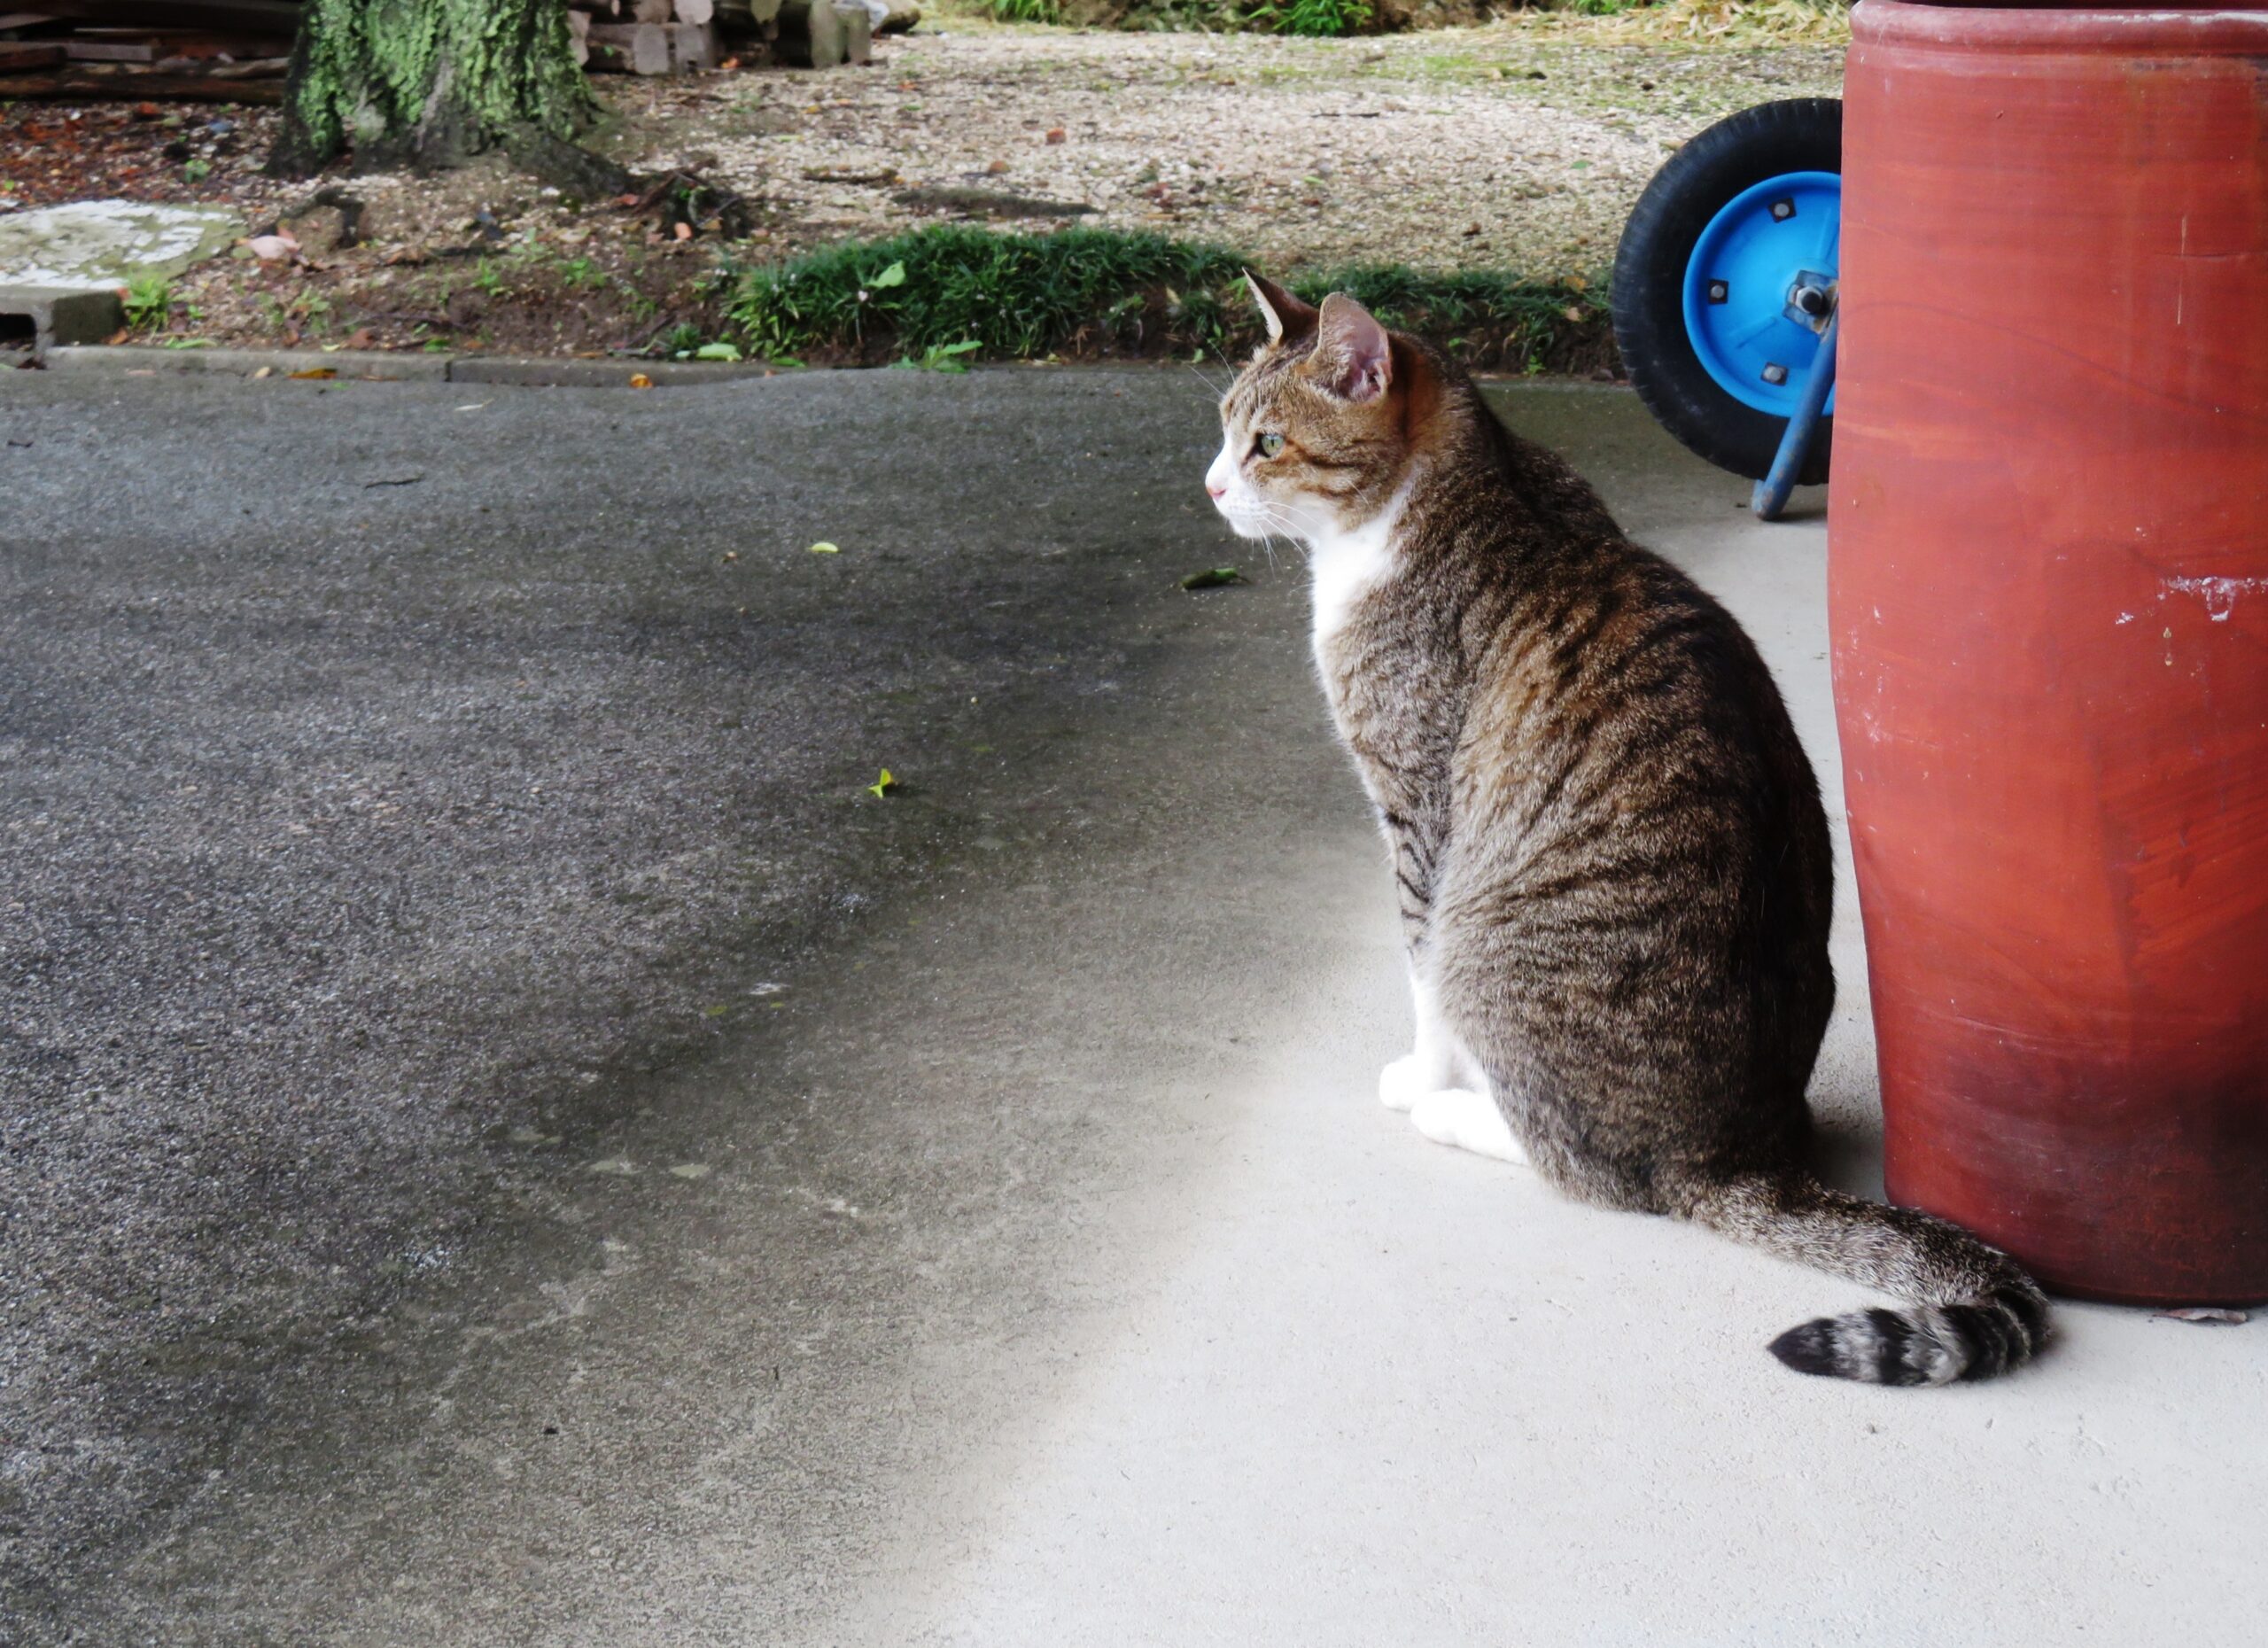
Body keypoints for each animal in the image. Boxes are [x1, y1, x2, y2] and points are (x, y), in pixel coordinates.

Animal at [1216, 277, 2050, 1387]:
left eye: (1266, 443)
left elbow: (1419, 976)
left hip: (1488, 944)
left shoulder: (1418, 808)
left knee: (1584, 1168)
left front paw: (1423, 1076)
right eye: (1223, 427)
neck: (1481, 482)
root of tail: (1735, 1158)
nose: (1212, 486)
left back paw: (1455, 1113)